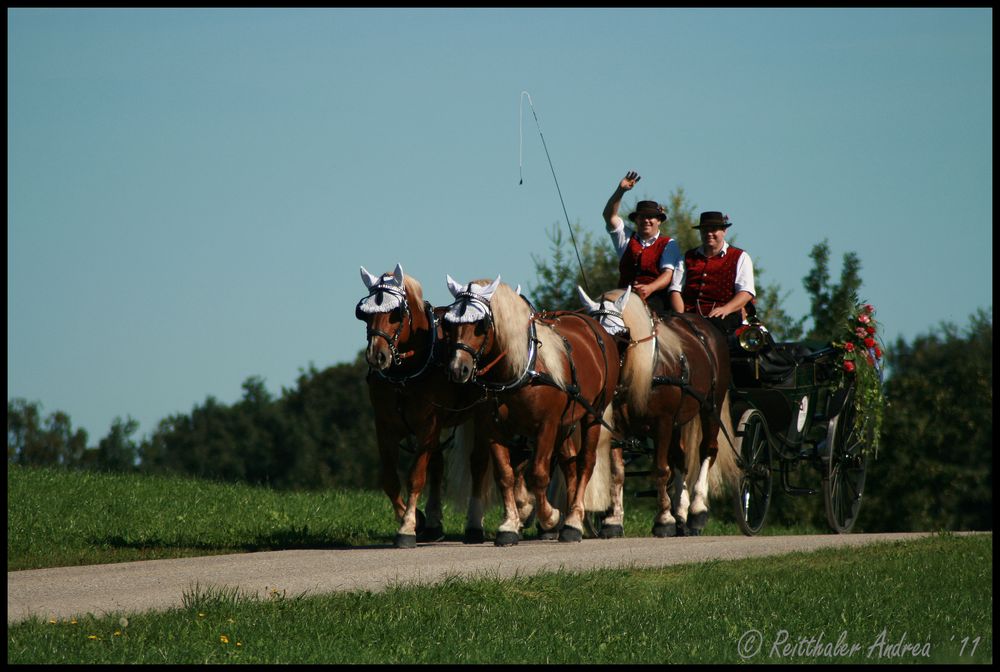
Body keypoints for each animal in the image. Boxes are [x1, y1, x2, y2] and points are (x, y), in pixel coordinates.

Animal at [356, 262, 488, 544]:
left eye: (396, 313)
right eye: (362, 313)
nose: (376, 355)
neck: (404, 374)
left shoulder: (428, 425)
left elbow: (416, 476)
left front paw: (407, 526)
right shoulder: (385, 426)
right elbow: (390, 480)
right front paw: (418, 518)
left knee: (479, 463)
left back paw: (475, 526)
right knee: (437, 466)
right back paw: (435, 525)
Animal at [444, 276, 620, 544]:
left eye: (481, 324)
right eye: (449, 323)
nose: (457, 369)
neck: (521, 370)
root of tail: (594, 327)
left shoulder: (546, 426)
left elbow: (538, 473)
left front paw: (550, 518)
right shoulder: (494, 428)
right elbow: (505, 475)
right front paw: (509, 524)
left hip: (593, 415)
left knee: (585, 463)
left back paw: (573, 522)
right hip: (566, 423)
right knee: (569, 466)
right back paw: (571, 518)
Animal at [580, 284, 736, 536]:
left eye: (622, 335)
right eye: (596, 336)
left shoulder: (662, 423)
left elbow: (661, 469)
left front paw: (664, 520)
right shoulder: (617, 428)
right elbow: (617, 472)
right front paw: (613, 520)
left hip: (711, 406)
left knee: (707, 450)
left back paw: (696, 512)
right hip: (679, 420)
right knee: (680, 458)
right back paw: (681, 513)